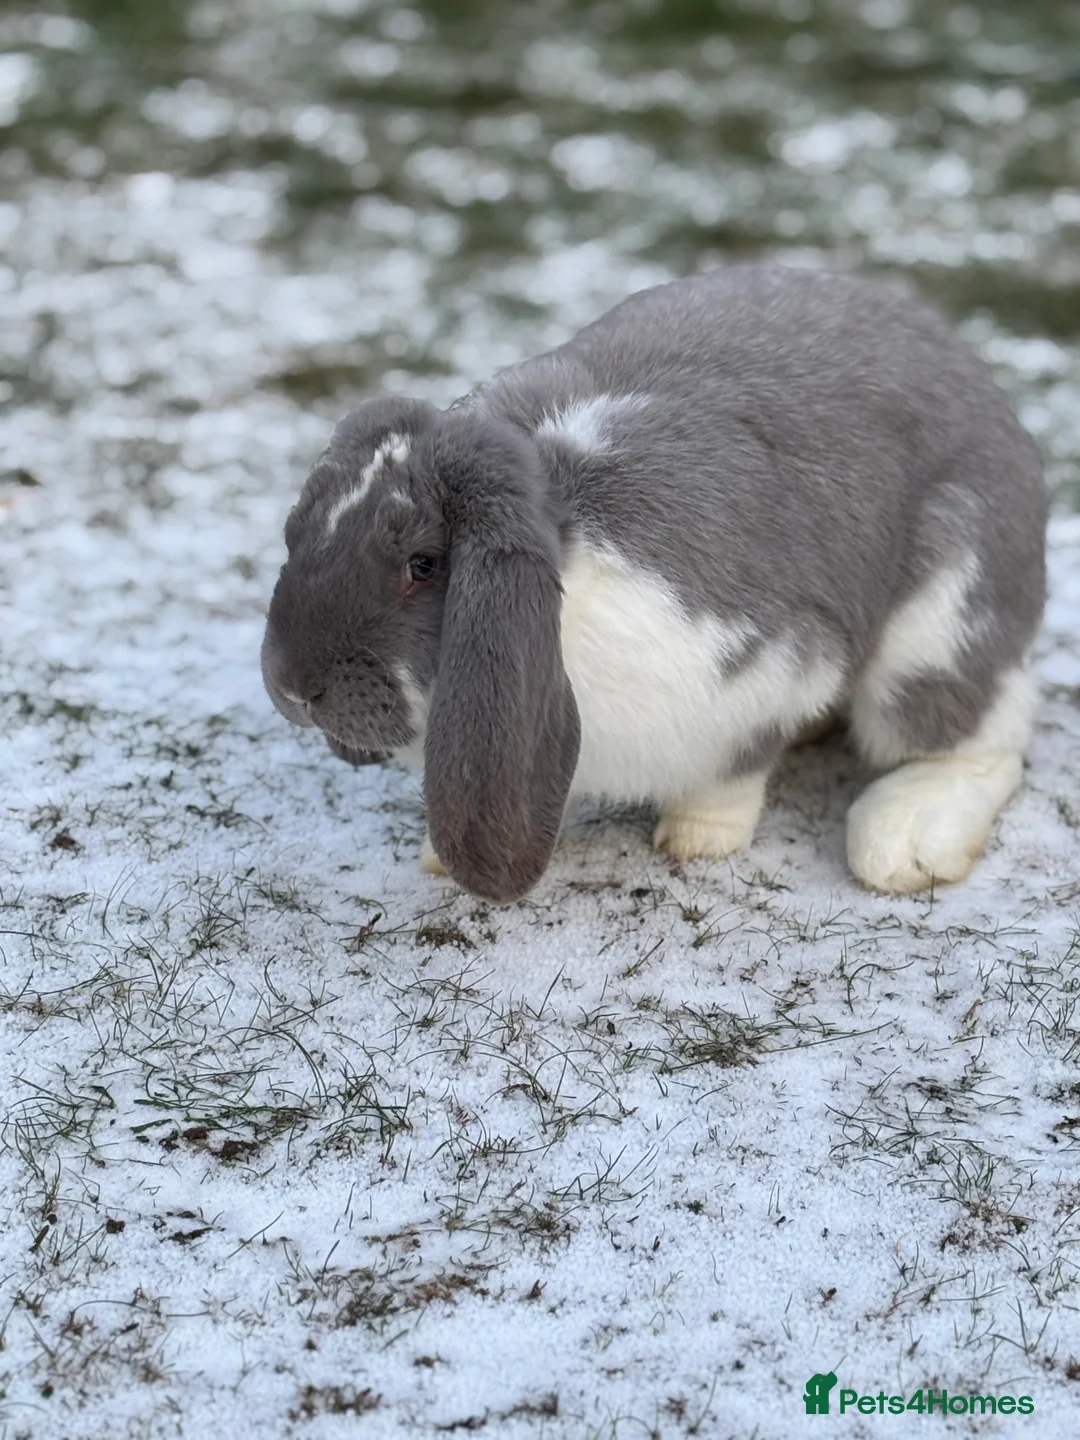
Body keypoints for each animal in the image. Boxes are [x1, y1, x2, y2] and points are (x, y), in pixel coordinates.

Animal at [261, 264, 1047, 903]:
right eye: (295, 529)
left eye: (422, 565)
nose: (292, 687)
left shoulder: (770, 668)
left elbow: (731, 773)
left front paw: (698, 839)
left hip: (940, 623)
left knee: (982, 740)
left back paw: (905, 838)